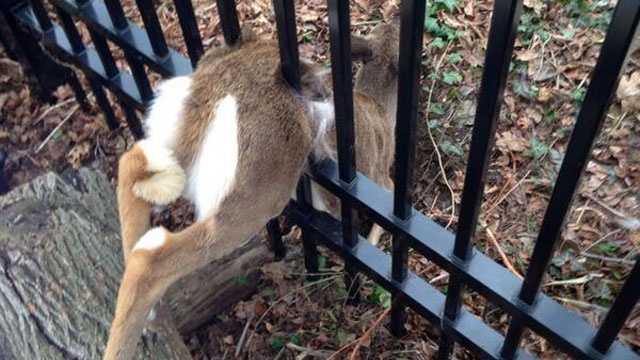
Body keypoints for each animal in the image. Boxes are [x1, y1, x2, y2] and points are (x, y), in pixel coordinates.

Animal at [107, 23, 400, 360]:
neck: (379, 106)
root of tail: (214, 93)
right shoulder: (380, 177)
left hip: (174, 144)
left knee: (132, 161)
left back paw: (153, 317)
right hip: (257, 195)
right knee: (151, 257)